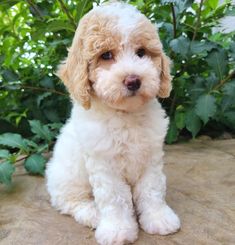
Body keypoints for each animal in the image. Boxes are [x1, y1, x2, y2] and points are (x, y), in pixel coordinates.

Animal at [46, 1, 181, 245]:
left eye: (141, 52)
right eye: (106, 55)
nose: (133, 80)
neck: (125, 115)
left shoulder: (151, 158)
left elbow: (152, 189)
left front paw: (159, 218)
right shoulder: (104, 165)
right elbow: (115, 198)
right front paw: (118, 229)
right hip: (67, 179)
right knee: (71, 202)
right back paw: (93, 214)